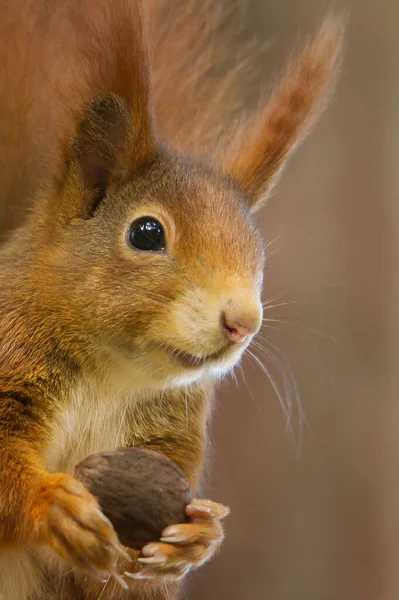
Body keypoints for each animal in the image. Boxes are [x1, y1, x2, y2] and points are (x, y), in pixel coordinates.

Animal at [0, 1, 344, 600]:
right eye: (146, 233)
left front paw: (194, 541)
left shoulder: (166, 437)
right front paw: (52, 506)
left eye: (258, 252)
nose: (244, 321)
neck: (110, 376)